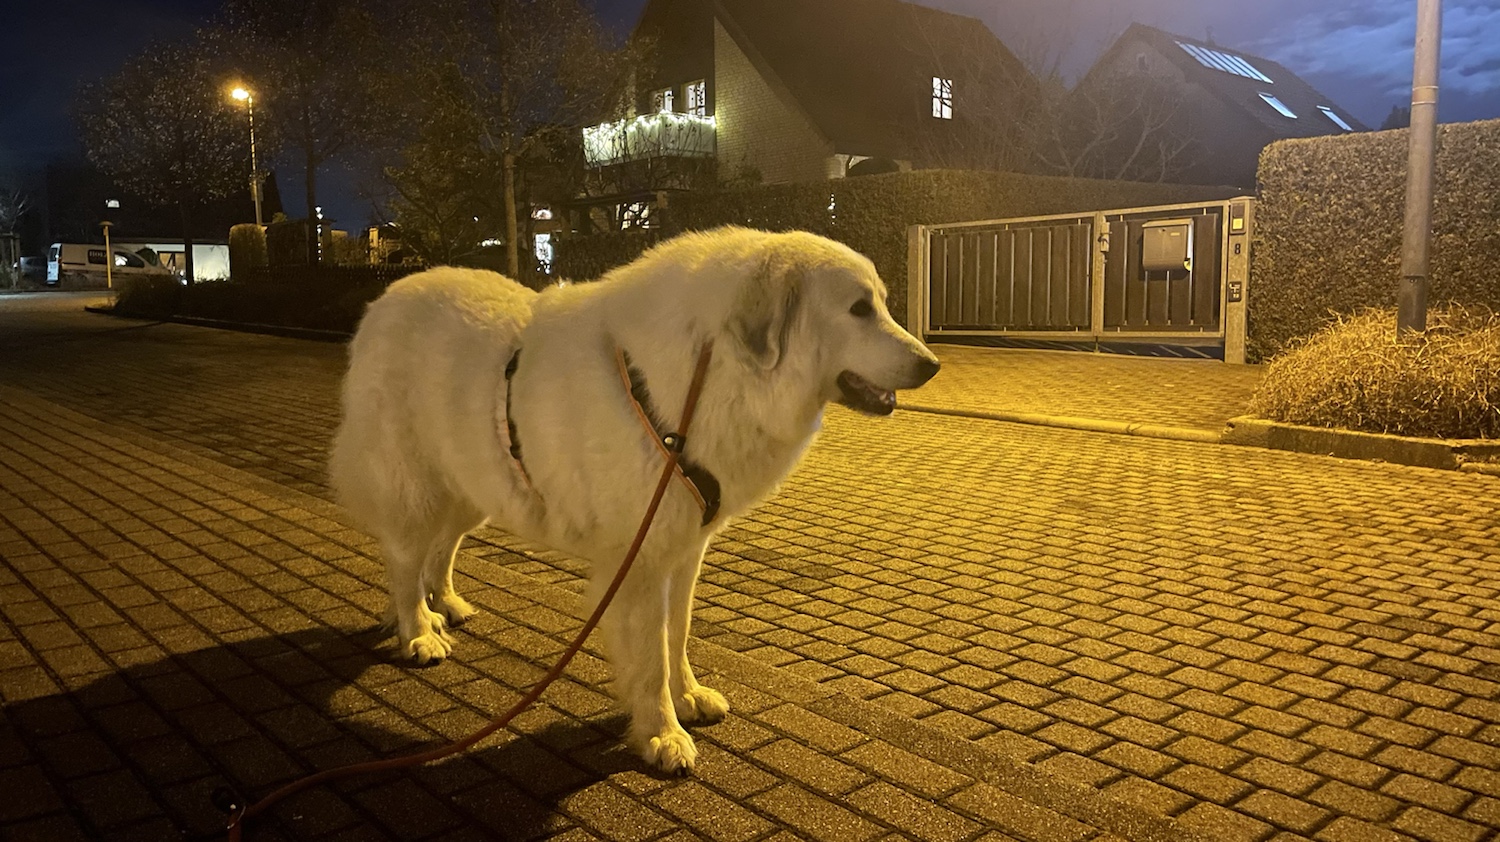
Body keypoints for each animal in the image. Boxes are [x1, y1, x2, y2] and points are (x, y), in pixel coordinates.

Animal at [329, 226, 939, 772]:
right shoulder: (641, 559)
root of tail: (386, 299)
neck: (709, 373)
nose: (932, 365)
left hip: (475, 486)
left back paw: (445, 607)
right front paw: (662, 736)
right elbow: (648, 658)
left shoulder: (685, 549)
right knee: (403, 561)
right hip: (416, 488)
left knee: (439, 550)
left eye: (883, 304)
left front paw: (688, 698)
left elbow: (679, 633)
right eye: (859, 309)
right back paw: (417, 632)